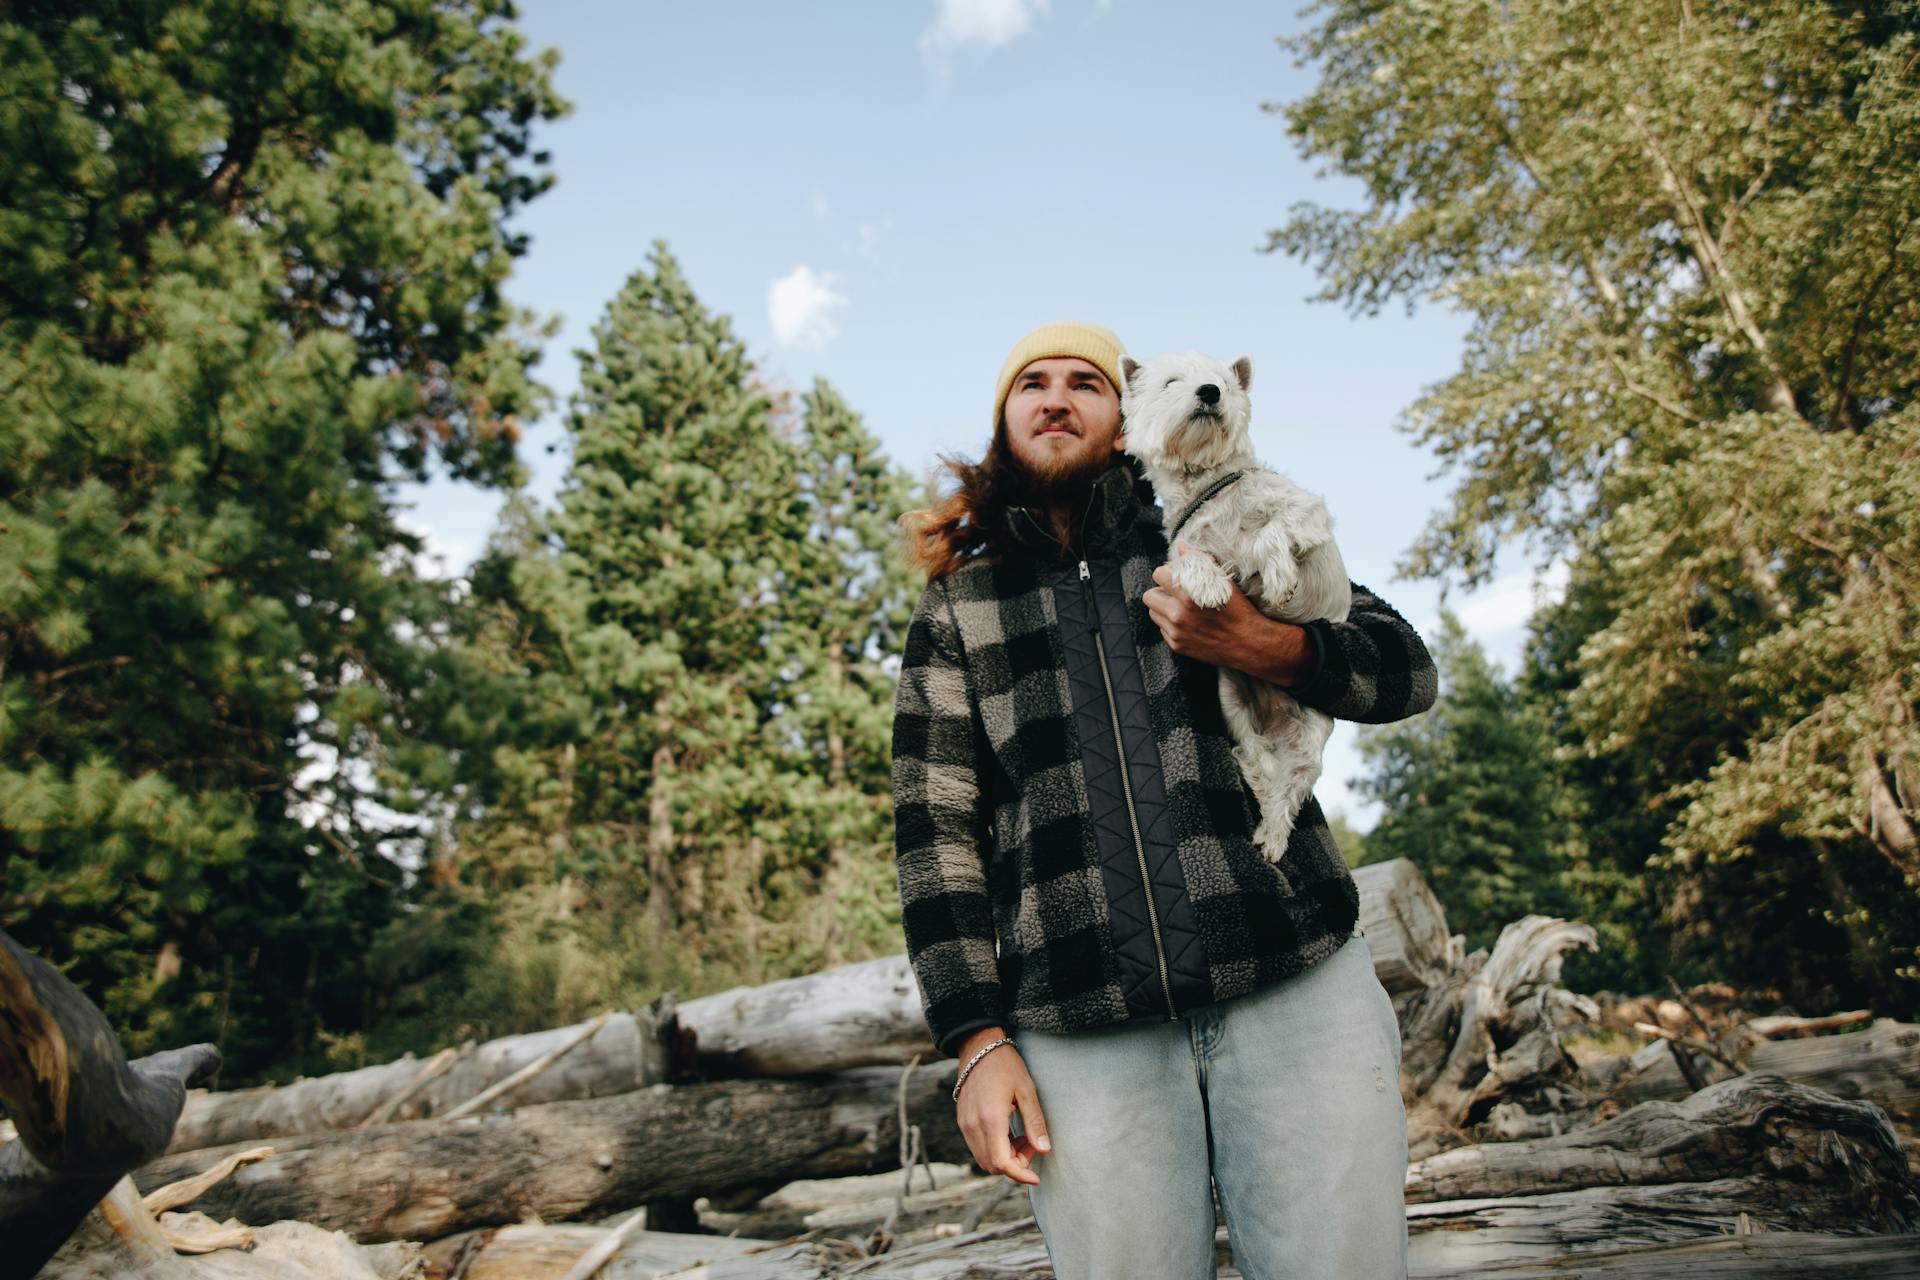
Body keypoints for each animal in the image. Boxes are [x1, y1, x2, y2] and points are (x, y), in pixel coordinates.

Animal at [1113, 353, 1351, 859]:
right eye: (1170, 382)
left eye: (1223, 381)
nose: (1209, 391)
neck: (1207, 483)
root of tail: (1275, 715)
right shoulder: (1182, 548)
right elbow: (1192, 563)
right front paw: (1211, 586)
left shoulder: (1306, 511)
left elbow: (1272, 531)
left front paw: (1276, 576)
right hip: (1233, 704)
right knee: (1254, 757)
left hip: (1309, 740)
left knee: (1289, 789)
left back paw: (1272, 839)